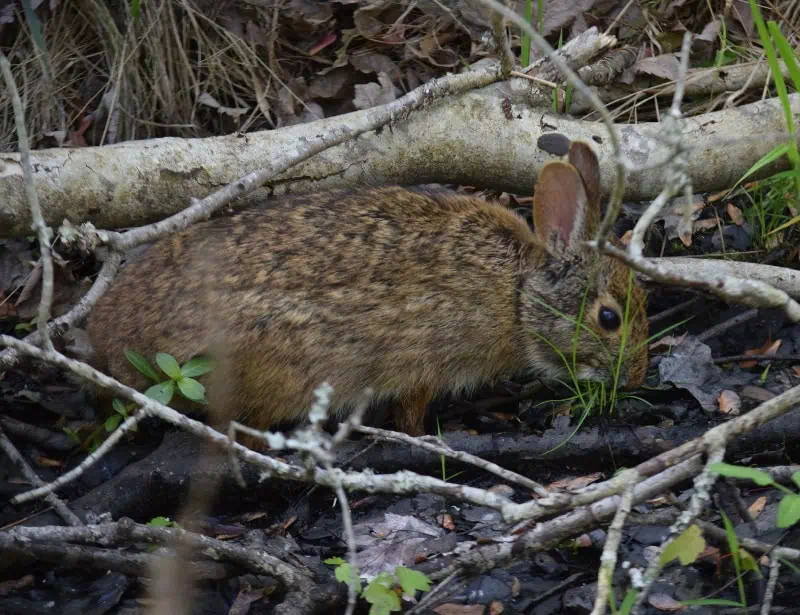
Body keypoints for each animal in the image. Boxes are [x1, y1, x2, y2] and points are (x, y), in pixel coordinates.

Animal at [86, 140, 649, 438]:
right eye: (609, 318)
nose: (637, 377)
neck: (518, 295)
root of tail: (107, 341)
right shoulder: (426, 362)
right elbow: (411, 410)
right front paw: (423, 437)